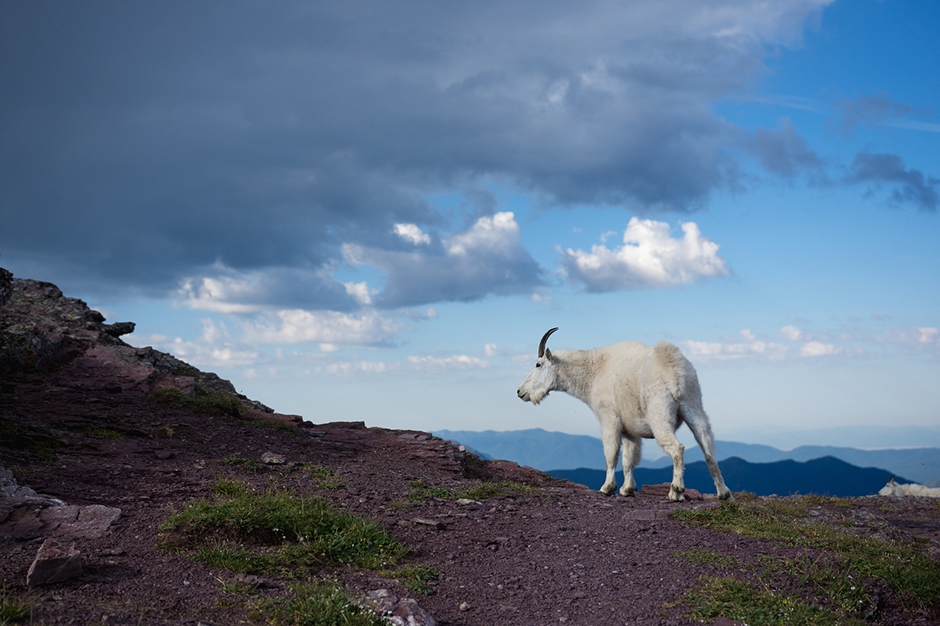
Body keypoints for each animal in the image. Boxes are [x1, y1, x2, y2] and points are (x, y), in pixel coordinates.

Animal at [516, 330, 736, 500]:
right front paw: (627, 489)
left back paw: (676, 491)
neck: (594, 372)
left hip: (660, 416)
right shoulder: (630, 429)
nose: (520, 392)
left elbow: (611, 455)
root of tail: (675, 372)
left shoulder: (609, 419)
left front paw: (607, 488)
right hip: (694, 406)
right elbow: (629, 458)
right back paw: (724, 493)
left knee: (677, 448)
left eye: (538, 364)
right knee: (708, 449)